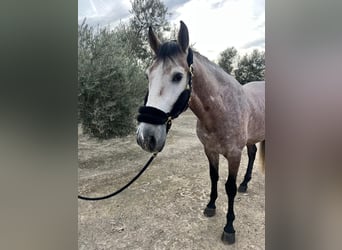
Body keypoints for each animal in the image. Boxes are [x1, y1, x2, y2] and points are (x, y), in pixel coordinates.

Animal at [136, 21, 264, 244]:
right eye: (147, 75)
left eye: (178, 76)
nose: (146, 137)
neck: (222, 109)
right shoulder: (210, 150)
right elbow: (213, 178)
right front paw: (210, 206)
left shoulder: (234, 155)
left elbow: (229, 187)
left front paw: (229, 228)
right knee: (253, 154)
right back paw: (245, 184)